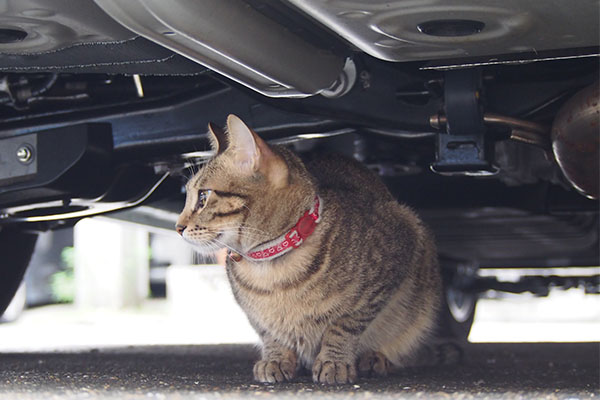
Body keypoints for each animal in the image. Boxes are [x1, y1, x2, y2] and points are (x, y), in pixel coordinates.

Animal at [177, 115, 440, 384]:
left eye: (203, 197)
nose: (178, 227)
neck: (269, 266)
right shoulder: (256, 316)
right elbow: (269, 332)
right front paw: (276, 358)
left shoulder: (395, 254)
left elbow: (344, 324)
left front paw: (334, 360)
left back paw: (375, 358)